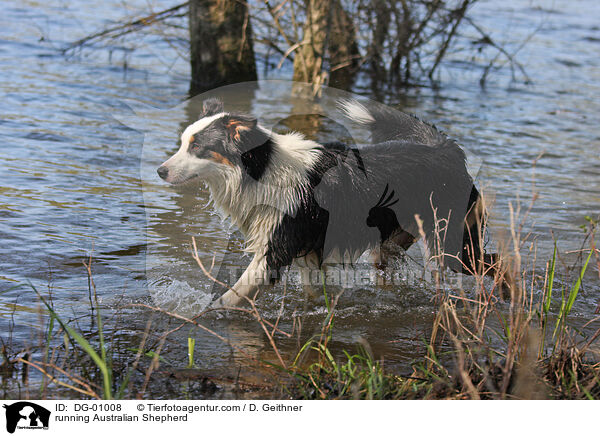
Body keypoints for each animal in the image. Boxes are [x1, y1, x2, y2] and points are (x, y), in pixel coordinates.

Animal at [156, 99, 502, 306]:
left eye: (197, 148)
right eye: (183, 143)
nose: (160, 171)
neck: (261, 170)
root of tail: (445, 148)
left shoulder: (276, 249)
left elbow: (231, 296)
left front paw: (201, 315)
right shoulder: (307, 252)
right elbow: (312, 292)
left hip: (453, 246)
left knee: (497, 264)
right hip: (390, 246)